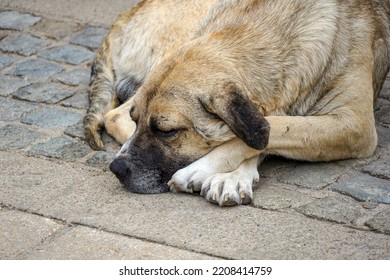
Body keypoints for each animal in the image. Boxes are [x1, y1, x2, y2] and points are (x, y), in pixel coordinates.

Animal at [84, 0, 390, 206]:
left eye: (167, 131)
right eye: (138, 121)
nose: (117, 169)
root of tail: (122, 18)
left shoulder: (354, 126)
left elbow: (274, 126)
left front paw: (207, 169)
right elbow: (269, 127)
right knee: (114, 115)